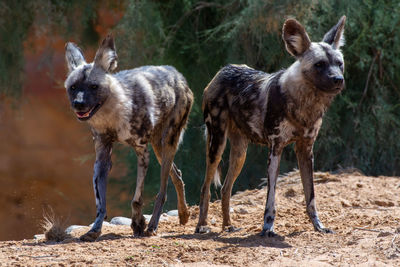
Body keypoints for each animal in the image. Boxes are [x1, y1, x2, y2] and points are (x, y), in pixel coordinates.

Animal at [64, 34, 194, 242]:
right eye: (73, 87)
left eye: (94, 86)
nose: (79, 104)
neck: (113, 115)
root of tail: (176, 73)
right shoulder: (102, 158)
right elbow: (100, 203)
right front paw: (94, 230)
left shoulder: (142, 152)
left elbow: (137, 199)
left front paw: (138, 224)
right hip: (159, 148)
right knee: (177, 175)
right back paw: (183, 214)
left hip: (166, 144)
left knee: (162, 190)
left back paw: (152, 225)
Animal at [197, 16, 346, 237]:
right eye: (319, 64)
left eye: (339, 64)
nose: (338, 80)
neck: (303, 103)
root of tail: (224, 70)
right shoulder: (275, 148)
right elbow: (271, 198)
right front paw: (267, 227)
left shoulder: (305, 150)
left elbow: (310, 197)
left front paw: (318, 226)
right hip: (217, 144)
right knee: (205, 187)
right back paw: (201, 225)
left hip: (240, 153)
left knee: (225, 188)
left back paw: (228, 226)